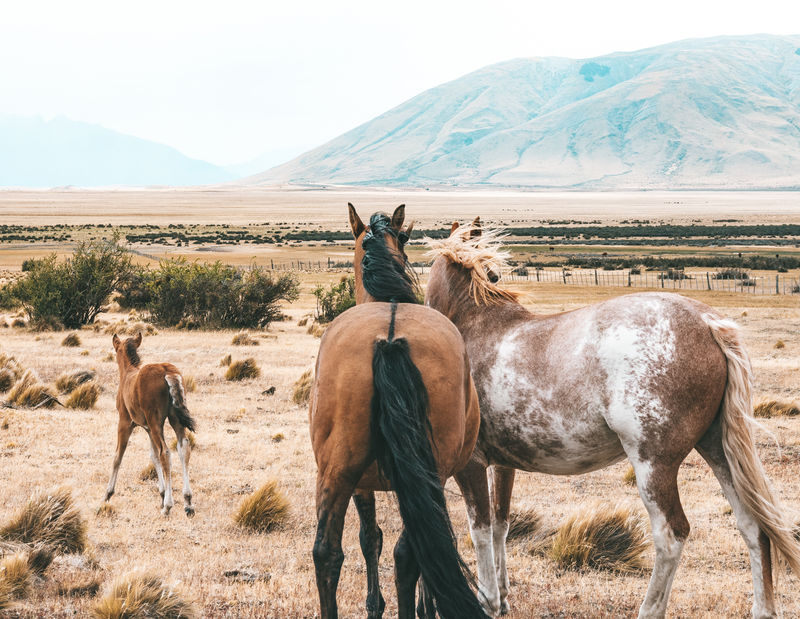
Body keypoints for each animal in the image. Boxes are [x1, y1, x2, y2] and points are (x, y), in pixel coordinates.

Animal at [103, 334, 197, 520]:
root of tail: (167, 371)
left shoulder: (125, 422)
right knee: (183, 448)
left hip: (156, 422)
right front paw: (162, 494)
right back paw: (188, 503)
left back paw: (168, 506)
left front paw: (108, 494)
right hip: (173, 419)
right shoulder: (147, 428)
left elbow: (118, 456)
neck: (128, 374)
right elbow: (153, 456)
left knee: (165, 452)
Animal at [310, 205, 488, 619]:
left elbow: (369, 538)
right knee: (409, 553)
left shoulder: (360, 481)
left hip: (336, 469)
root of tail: (389, 336)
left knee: (327, 553)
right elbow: (379, 539)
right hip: (427, 469)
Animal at [424, 223, 800, 619]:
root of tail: (708, 323)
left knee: (671, 535)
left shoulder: (472, 464)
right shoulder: (503, 464)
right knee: (753, 526)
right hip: (717, 451)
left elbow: (479, 530)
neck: (471, 328)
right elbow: (500, 524)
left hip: (654, 465)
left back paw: (649, 609)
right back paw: (763, 608)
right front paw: (503, 596)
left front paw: (487, 600)